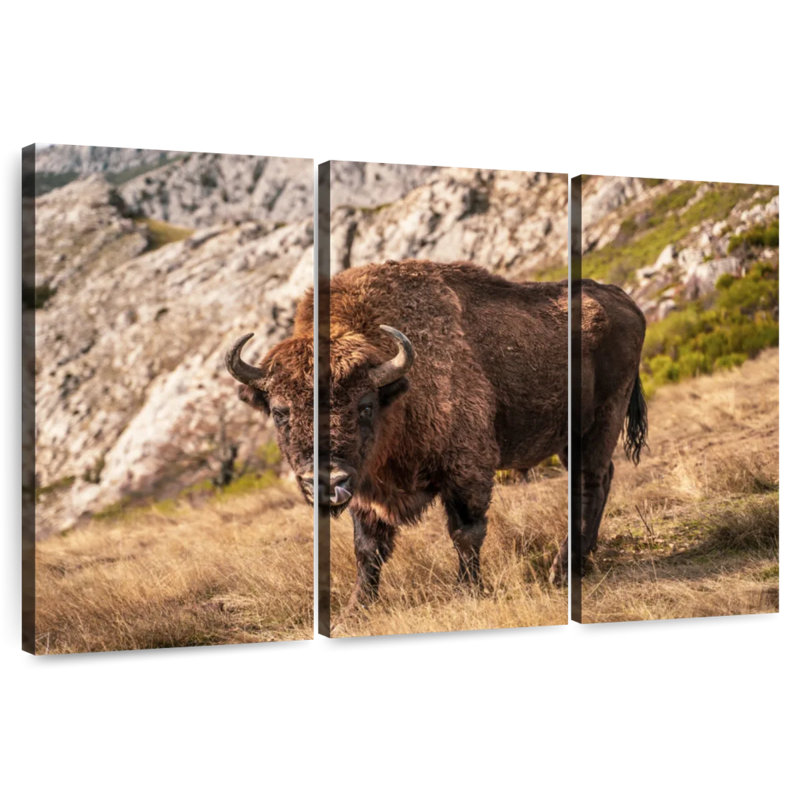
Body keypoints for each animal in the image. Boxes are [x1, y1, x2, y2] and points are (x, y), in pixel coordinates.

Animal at [226, 260, 647, 605]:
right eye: (280, 411)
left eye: (365, 405)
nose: (326, 481)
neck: (399, 393)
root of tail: (626, 301)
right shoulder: (366, 490)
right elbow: (368, 548)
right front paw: (358, 607)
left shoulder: (466, 471)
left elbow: (465, 532)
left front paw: (468, 591)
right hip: (570, 438)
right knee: (600, 479)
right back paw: (582, 559)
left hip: (602, 421)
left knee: (590, 483)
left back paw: (563, 570)